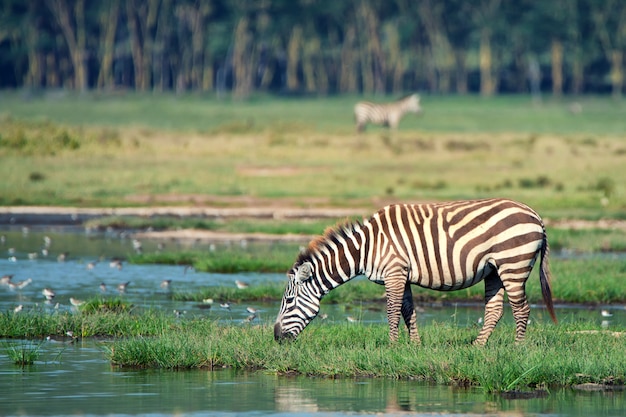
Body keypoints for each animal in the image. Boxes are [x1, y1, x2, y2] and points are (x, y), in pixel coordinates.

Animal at [272, 198, 556, 344]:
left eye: (288, 301)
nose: (276, 337)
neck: (367, 248)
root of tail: (535, 215)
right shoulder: (402, 274)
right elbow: (408, 309)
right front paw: (414, 347)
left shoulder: (394, 271)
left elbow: (392, 310)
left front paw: (391, 346)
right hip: (494, 270)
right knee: (495, 310)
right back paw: (477, 348)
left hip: (513, 263)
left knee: (522, 309)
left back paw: (517, 349)